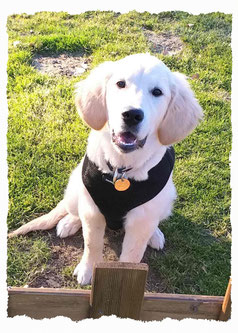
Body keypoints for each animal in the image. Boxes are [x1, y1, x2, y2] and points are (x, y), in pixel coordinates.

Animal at [9, 52, 203, 286]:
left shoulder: (140, 222)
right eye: (120, 84)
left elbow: (131, 257)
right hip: (75, 189)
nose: (132, 115)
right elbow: (92, 243)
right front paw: (87, 269)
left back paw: (155, 235)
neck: (122, 169)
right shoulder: (92, 211)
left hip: (166, 200)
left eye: (157, 92)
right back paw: (69, 222)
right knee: (73, 210)